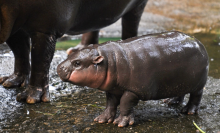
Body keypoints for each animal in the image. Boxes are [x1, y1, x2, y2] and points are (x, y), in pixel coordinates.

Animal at [0, 0, 149, 103]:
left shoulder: (45, 29)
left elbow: (40, 60)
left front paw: (30, 99)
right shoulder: (14, 26)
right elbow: (20, 52)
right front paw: (10, 82)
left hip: (138, 5)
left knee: (131, 24)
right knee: (93, 25)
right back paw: (77, 50)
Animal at [56, 30, 208, 127]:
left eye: (77, 63)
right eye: (71, 53)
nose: (58, 67)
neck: (110, 61)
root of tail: (198, 42)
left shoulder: (133, 91)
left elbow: (124, 103)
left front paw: (120, 123)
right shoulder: (113, 90)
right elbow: (110, 104)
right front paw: (101, 119)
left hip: (198, 84)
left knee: (196, 96)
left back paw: (188, 111)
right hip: (181, 80)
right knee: (181, 92)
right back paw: (170, 102)